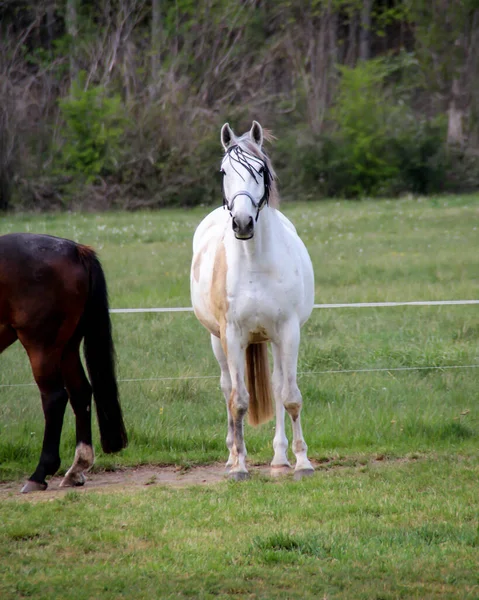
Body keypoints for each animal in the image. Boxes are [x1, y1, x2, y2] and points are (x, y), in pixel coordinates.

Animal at [0, 233, 128, 492]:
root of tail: (75, 249)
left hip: (42, 346)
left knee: (55, 397)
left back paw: (40, 474)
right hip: (66, 347)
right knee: (80, 392)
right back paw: (77, 467)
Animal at [191, 123, 316, 482]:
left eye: (260, 169)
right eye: (223, 171)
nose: (243, 222)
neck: (255, 263)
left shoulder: (288, 332)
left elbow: (289, 396)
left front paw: (302, 462)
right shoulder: (232, 334)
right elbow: (239, 401)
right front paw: (239, 466)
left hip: (271, 339)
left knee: (276, 386)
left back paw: (279, 457)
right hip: (217, 341)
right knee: (226, 388)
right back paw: (232, 455)